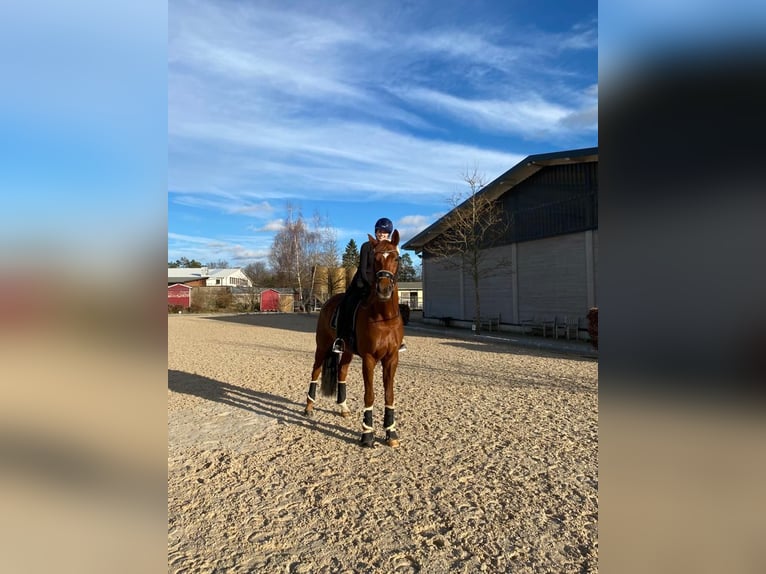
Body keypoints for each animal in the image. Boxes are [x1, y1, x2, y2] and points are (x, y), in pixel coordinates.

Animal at [304, 230, 404, 450]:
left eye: (396, 258)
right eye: (375, 259)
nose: (384, 289)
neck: (383, 317)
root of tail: (327, 302)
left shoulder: (391, 358)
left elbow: (389, 394)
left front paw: (391, 433)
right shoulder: (369, 358)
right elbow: (370, 395)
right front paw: (367, 435)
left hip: (347, 351)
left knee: (341, 373)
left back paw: (343, 408)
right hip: (322, 347)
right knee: (315, 371)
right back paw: (309, 407)